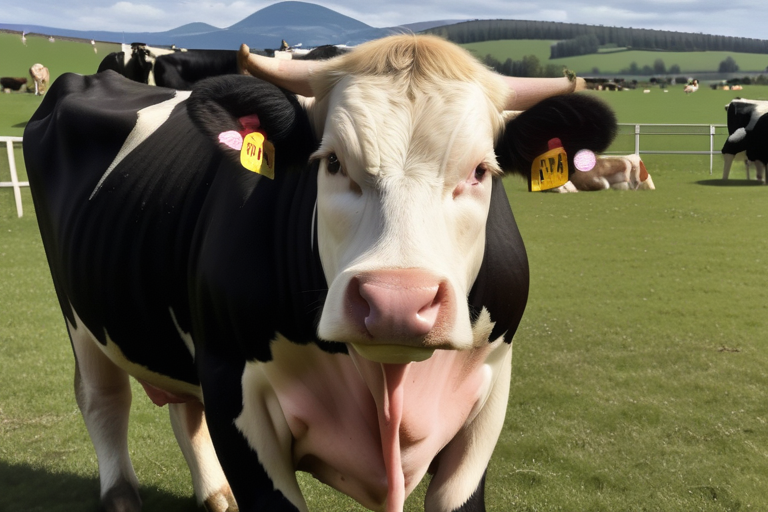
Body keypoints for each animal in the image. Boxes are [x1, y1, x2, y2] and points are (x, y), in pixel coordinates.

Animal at [24, 34, 617, 512]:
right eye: (330, 162)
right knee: (104, 400)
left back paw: (215, 496)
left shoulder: (491, 388)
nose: (397, 303)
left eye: (480, 171)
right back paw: (123, 494)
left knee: (183, 411)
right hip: (78, 314)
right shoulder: (233, 386)